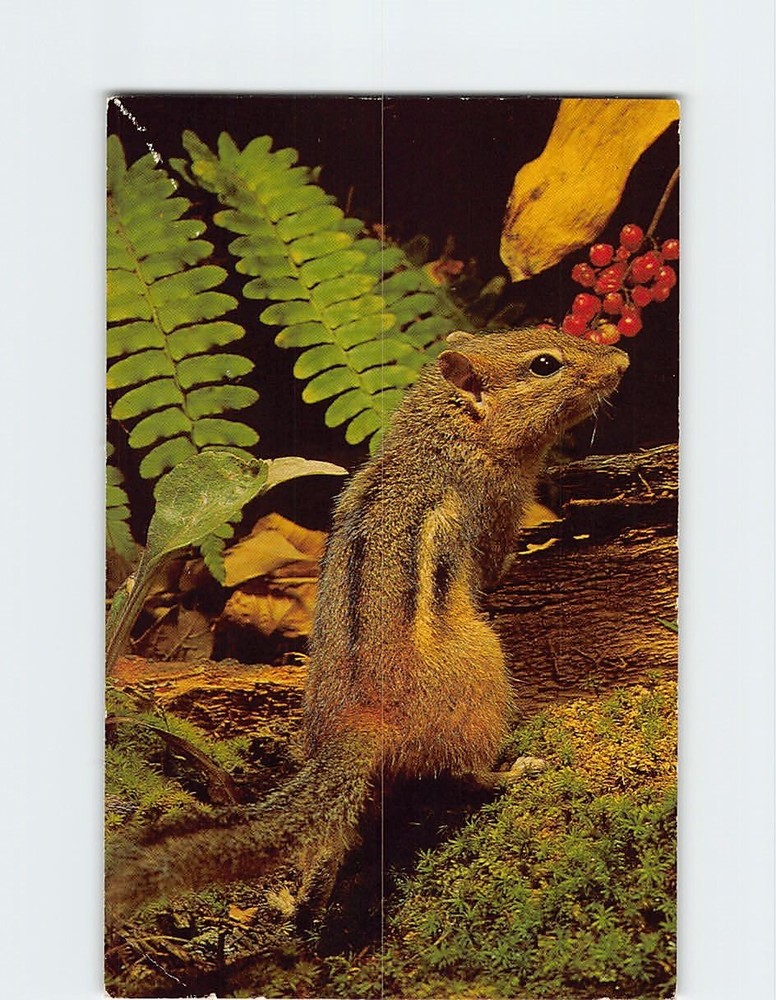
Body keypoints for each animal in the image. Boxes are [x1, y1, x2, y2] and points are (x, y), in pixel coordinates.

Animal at [106, 324, 629, 920]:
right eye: (544, 364)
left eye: (547, 328)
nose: (622, 358)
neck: (441, 438)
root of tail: (360, 721)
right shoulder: (497, 510)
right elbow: (499, 563)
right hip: (487, 670)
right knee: (464, 772)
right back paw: (515, 771)